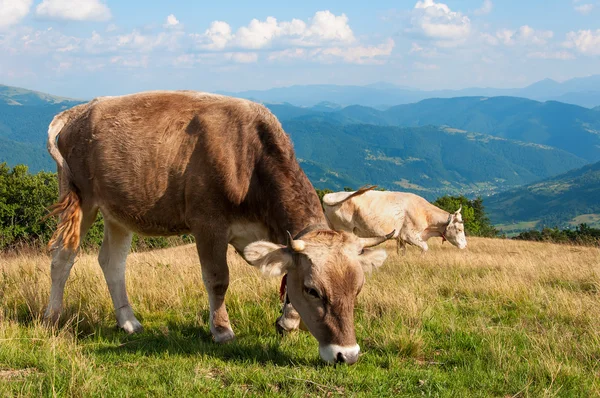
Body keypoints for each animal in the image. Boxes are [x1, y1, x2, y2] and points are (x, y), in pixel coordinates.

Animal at [45, 91, 394, 366]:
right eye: (313, 290)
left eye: (357, 289)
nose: (347, 354)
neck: (248, 160)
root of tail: (78, 110)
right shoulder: (208, 224)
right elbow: (218, 280)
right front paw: (222, 330)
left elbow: (283, 275)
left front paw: (288, 321)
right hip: (79, 198)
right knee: (63, 256)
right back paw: (52, 317)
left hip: (117, 212)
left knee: (112, 262)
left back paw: (128, 321)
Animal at [324, 185, 468, 253]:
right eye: (459, 229)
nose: (465, 245)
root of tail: (331, 195)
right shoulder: (410, 235)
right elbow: (425, 247)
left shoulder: (401, 238)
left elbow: (402, 253)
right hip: (345, 229)